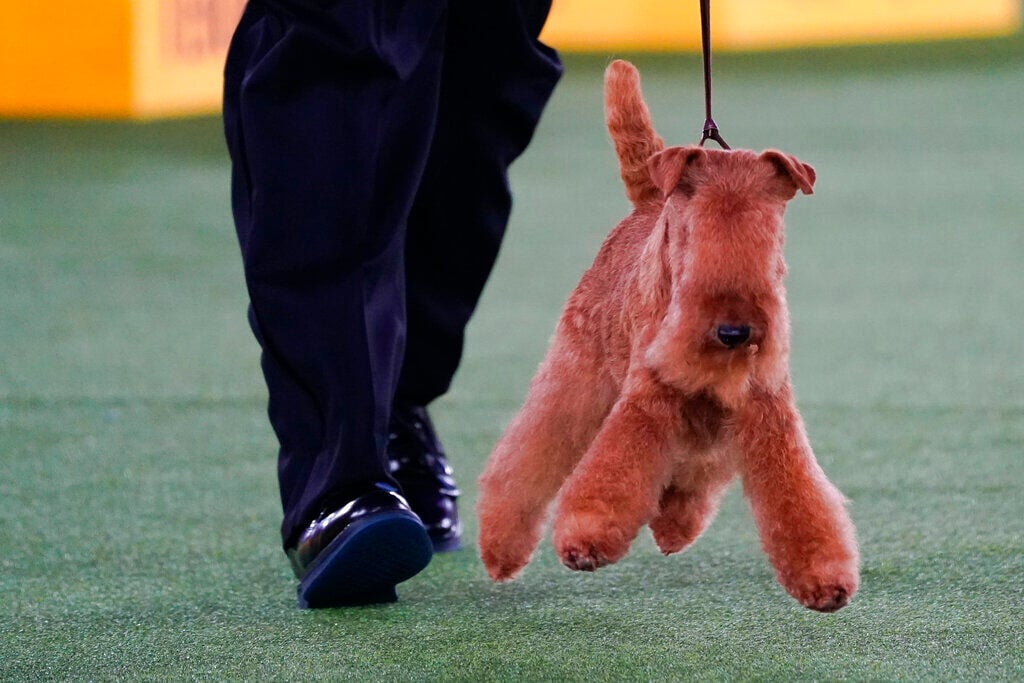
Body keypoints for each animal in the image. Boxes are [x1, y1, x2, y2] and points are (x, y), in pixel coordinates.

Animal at [475, 61, 860, 610]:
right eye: (693, 230)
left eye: (769, 232)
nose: (733, 330)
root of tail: (649, 202)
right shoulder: (648, 401)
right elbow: (612, 471)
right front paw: (587, 539)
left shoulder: (765, 408)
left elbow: (798, 496)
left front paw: (824, 577)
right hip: (578, 373)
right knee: (526, 456)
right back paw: (501, 550)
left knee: (697, 472)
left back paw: (675, 523)